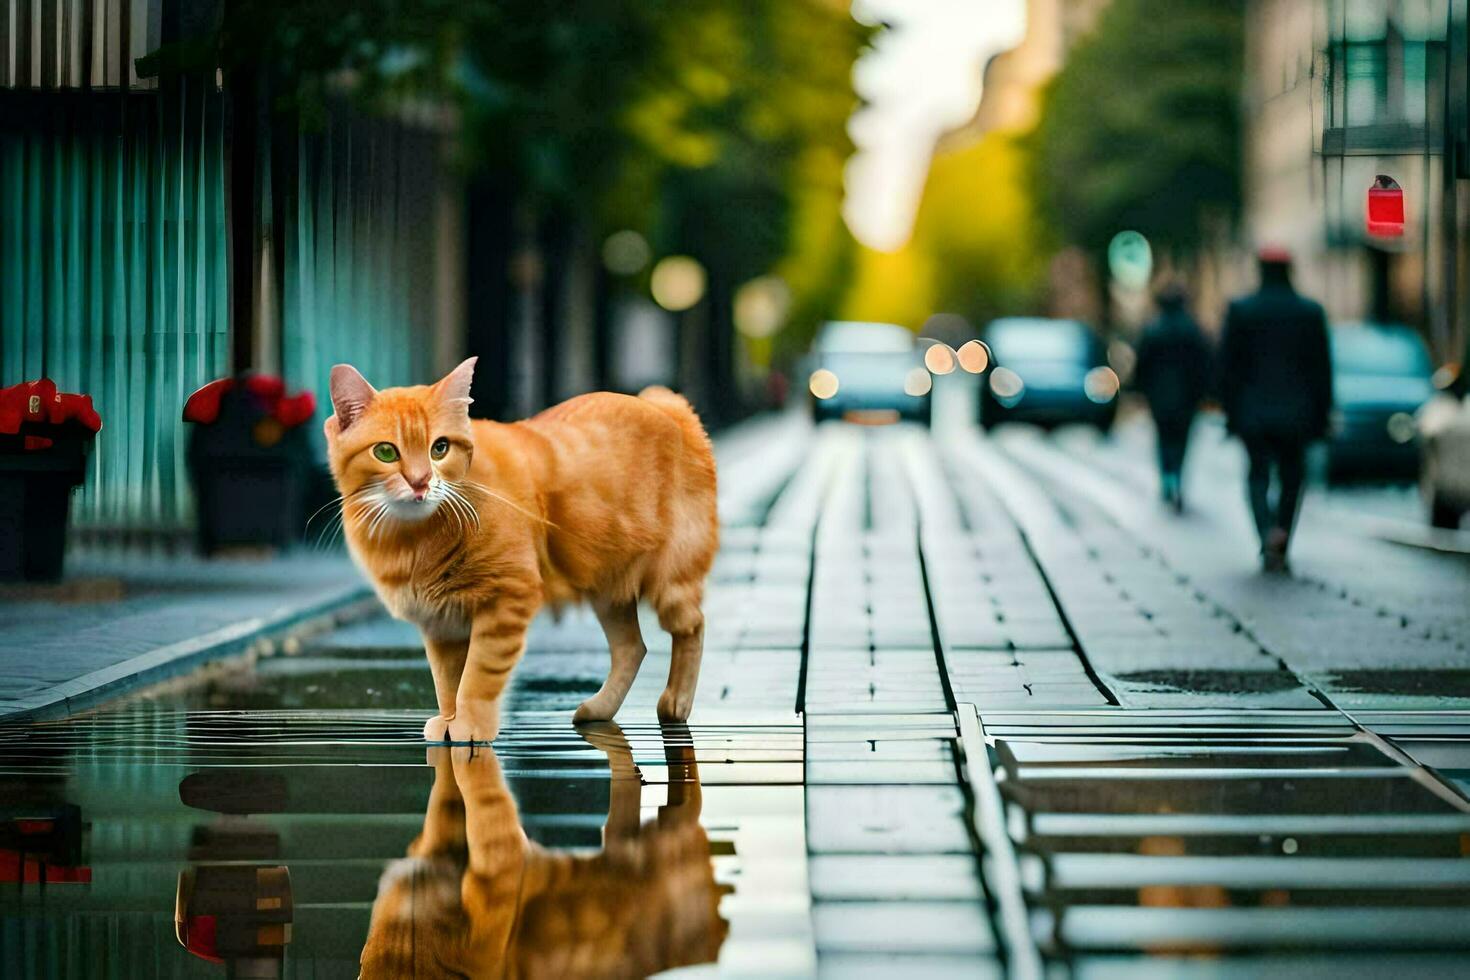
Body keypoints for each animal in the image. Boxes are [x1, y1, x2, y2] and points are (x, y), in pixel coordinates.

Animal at [333, 362, 723, 743]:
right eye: (386, 452)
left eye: (439, 448)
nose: (420, 482)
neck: (414, 538)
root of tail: (668, 408)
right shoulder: (442, 622)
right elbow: (447, 680)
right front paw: (450, 719)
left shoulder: (504, 601)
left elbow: (477, 676)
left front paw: (470, 726)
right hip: (606, 586)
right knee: (631, 647)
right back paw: (599, 708)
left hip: (669, 581)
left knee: (692, 626)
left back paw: (676, 702)